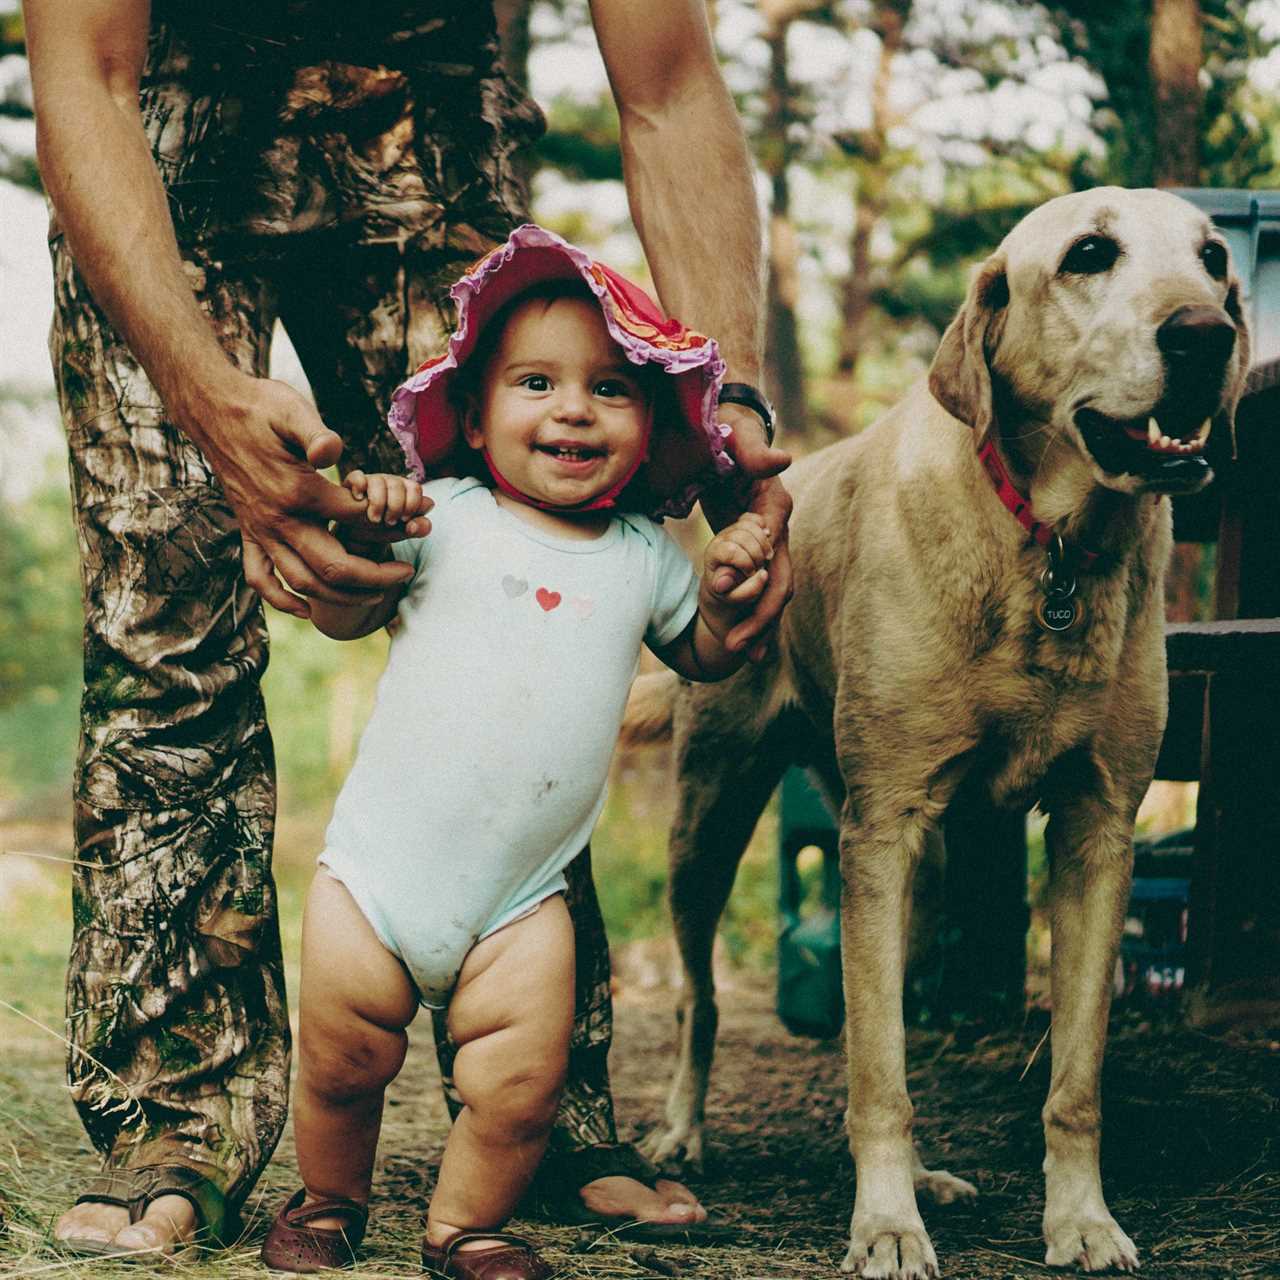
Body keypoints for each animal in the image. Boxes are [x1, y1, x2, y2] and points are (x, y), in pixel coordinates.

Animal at [629, 189, 1249, 1280]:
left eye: (1213, 258)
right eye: (1090, 254)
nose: (1205, 334)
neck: (1050, 550)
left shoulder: (1096, 831)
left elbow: (1071, 1080)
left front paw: (1081, 1218)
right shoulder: (882, 829)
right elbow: (878, 1079)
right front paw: (884, 1225)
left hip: (910, 875)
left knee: (879, 1024)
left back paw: (924, 1176)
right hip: (712, 823)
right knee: (703, 997)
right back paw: (684, 1132)